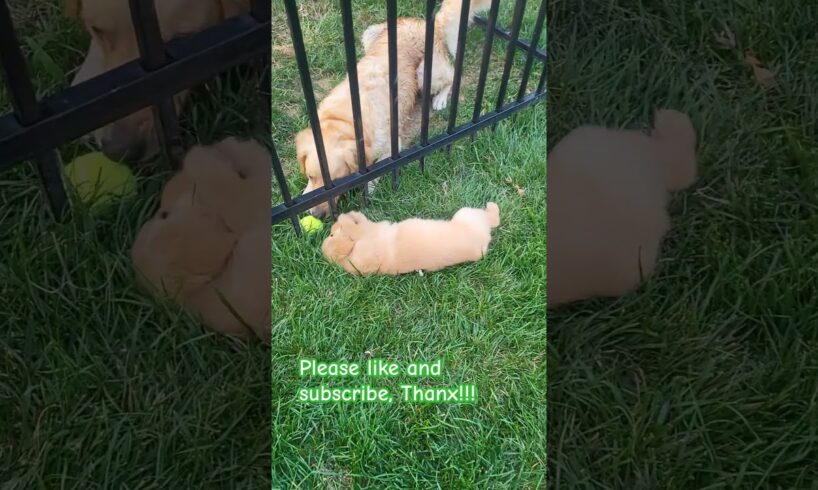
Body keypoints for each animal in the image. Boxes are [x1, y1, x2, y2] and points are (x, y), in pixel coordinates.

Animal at [322, 202, 500, 276]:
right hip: (466, 214)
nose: (331, 227)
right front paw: (347, 217)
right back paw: (492, 206)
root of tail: (483, 240)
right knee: (494, 218)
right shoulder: (367, 232)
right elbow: (356, 226)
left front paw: (348, 216)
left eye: (330, 235)